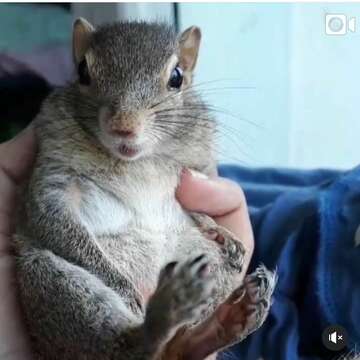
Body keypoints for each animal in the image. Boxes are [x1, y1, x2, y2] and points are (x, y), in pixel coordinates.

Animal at [15, 19, 278, 360]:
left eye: (177, 77)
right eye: (83, 71)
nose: (124, 126)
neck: (136, 162)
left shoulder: (198, 166)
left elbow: (197, 206)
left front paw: (220, 231)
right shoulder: (54, 172)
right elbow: (52, 218)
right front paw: (122, 287)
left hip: (208, 265)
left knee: (178, 347)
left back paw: (234, 316)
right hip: (49, 281)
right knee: (133, 348)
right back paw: (169, 309)